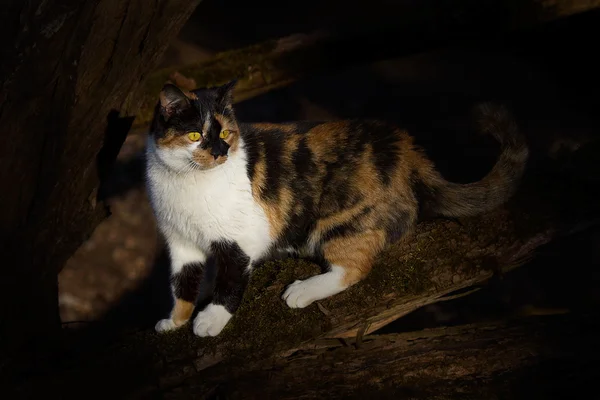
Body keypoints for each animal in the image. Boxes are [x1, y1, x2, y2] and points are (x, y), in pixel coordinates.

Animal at [146, 79, 528, 336]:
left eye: (225, 133)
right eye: (195, 136)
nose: (220, 153)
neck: (185, 182)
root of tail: (409, 152)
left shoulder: (242, 238)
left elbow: (229, 280)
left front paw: (210, 320)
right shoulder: (180, 245)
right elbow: (181, 284)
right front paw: (175, 321)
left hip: (340, 222)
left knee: (354, 268)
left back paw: (302, 290)